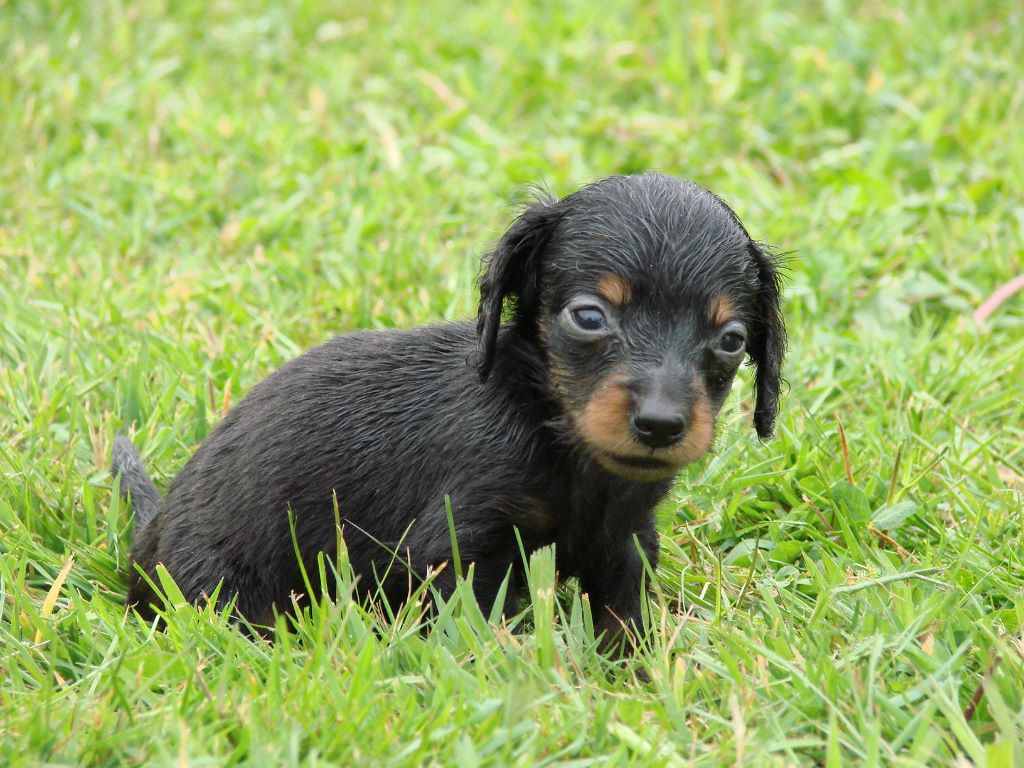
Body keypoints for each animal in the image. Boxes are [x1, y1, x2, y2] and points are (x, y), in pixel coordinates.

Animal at [114, 171, 782, 651]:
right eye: (589, 316)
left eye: (732, 340)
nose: (661, 424)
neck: (551, 427)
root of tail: (150, 530)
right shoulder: (462, 545)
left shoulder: (626, 542)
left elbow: (625, 623)